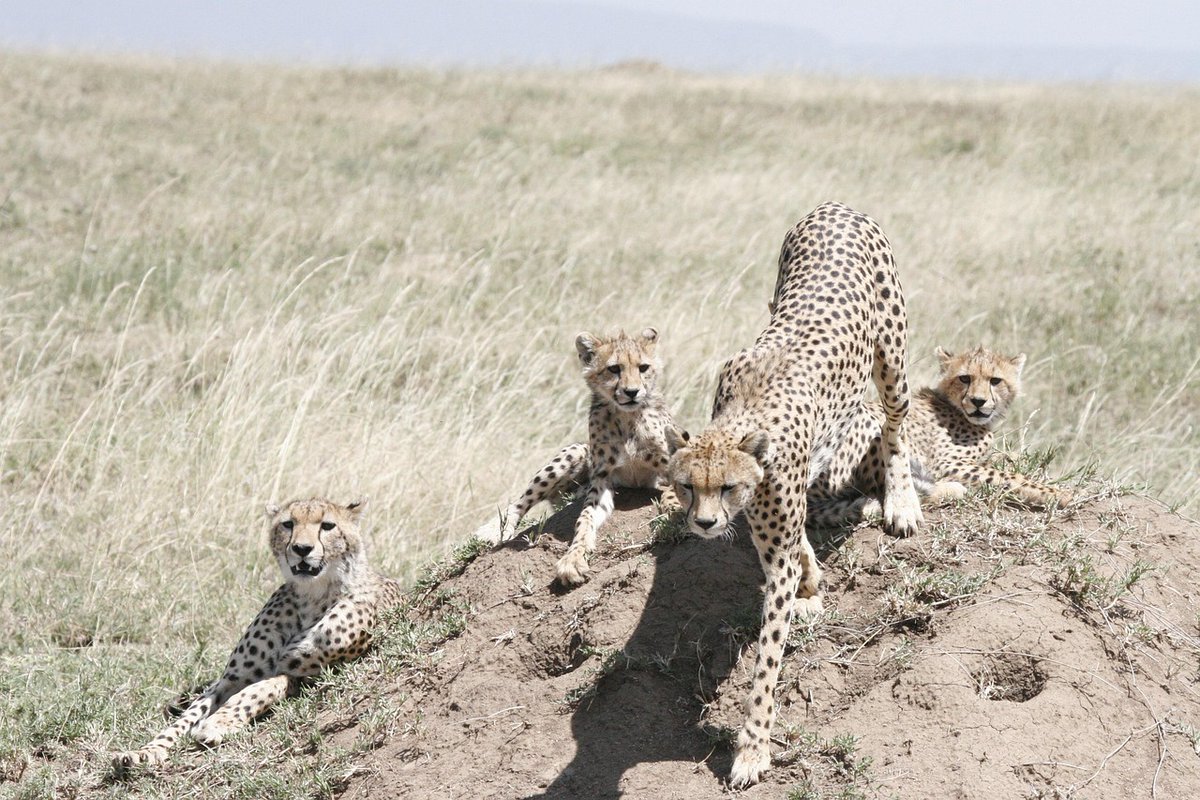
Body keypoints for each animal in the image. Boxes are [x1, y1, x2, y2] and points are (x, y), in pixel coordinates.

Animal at [112, 497, 402, 770]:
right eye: (288, 524)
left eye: (327, 525)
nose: (302, 549)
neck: (312, 596)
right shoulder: (230, 679)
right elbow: (187, 717)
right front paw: (147, 751)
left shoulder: (308, 677)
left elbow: (259, 689)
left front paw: (216, 724)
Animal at [476, 328, 682, 586]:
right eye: (614, 369)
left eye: (643, 367)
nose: (632, 392)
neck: (626, 417)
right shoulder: (602, 480)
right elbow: (584, 520)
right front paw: (573, 559)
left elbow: (674, 490)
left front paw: (675, 509)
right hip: (575, 452)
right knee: (521, 501)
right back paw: (495, 530)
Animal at [665, 201, 923, 788]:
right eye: (687, 486)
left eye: (727, 486)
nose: (705, 524)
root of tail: (835, 205)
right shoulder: (768, 531)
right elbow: (791, 546)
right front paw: (811, 578)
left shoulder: (773, 534)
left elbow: (767, 656)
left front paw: (752, 748)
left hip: (892, 356)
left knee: (895, 422)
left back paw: (899, 500)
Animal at [808, 345, 1071, 526]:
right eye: (965, 378)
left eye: (995, 381)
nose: (978, 401)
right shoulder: (948, 463)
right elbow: (1010, 477)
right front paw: (1058, 494)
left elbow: (1003, 458)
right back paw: (950, 489)